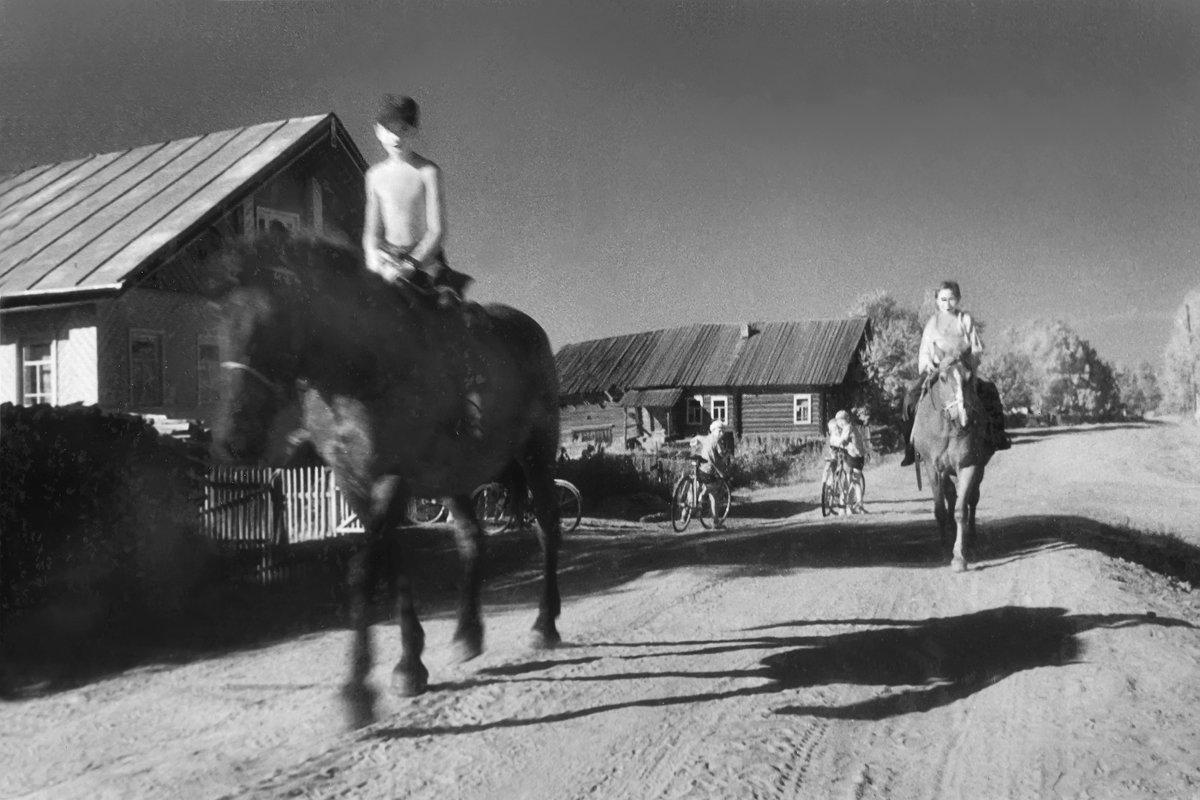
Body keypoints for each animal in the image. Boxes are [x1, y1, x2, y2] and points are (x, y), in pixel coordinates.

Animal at [208, 235, 564, 729]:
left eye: (273, 322)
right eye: (219, 321)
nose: (233, 440)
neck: (361, 369)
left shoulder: (391, 479)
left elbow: (362, 573)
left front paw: (356, 691)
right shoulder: (354, 483)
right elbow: (394, 565)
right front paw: (409, 665)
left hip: (537, 452)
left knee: (547, 527)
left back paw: (544, 625)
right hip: (453, 474)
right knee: (471, 538)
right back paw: (467, 633)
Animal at [912, 359, 998, 573]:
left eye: (969, 378)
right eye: (942, 378)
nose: (962, 417)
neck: (949, 429)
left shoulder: (969, 466)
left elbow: (961, 509)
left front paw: (959, 556)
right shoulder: (932, 469)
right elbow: (940, 510)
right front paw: (945, 548)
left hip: (978, 470)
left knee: (972, 499)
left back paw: (971, 538)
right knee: (950, 495)